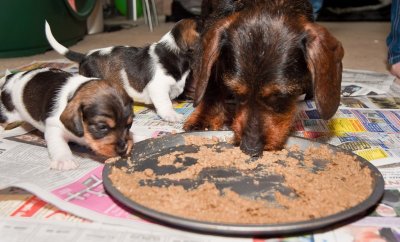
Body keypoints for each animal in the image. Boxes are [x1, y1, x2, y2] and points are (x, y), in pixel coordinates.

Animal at [0, 67, 134, 170]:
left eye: (129, 125)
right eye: (102, 127)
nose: (123, 150)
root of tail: (10, 77)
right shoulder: (54, 128)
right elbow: (59, 145)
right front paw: (64, 160)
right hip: (7, 114)